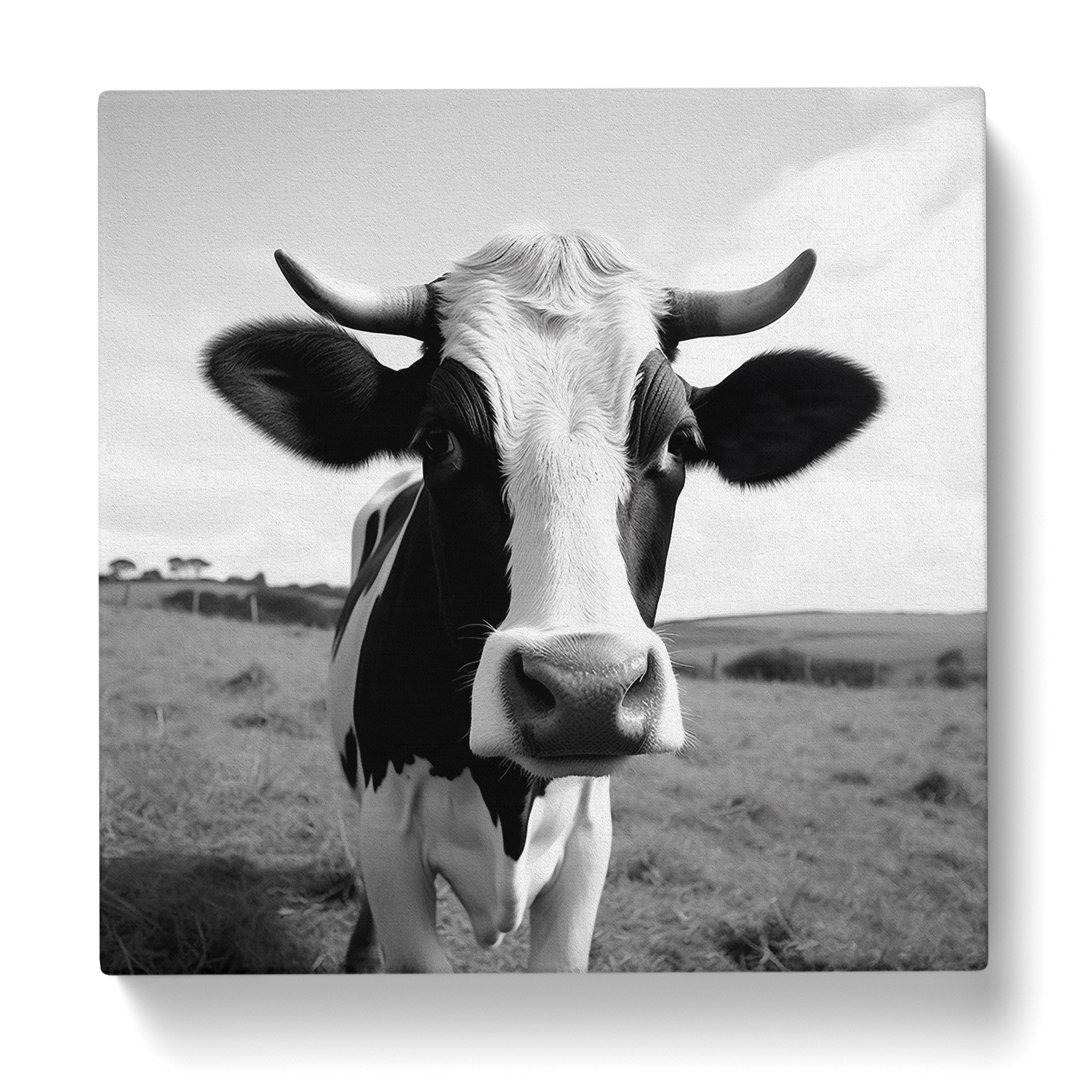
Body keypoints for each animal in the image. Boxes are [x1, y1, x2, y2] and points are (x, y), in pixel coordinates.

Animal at [204, 228, 881, 972]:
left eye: (679, 441)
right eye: (436, 438)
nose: (589, 690)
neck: (505, 792)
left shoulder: (587, 842)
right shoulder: (390, 838)